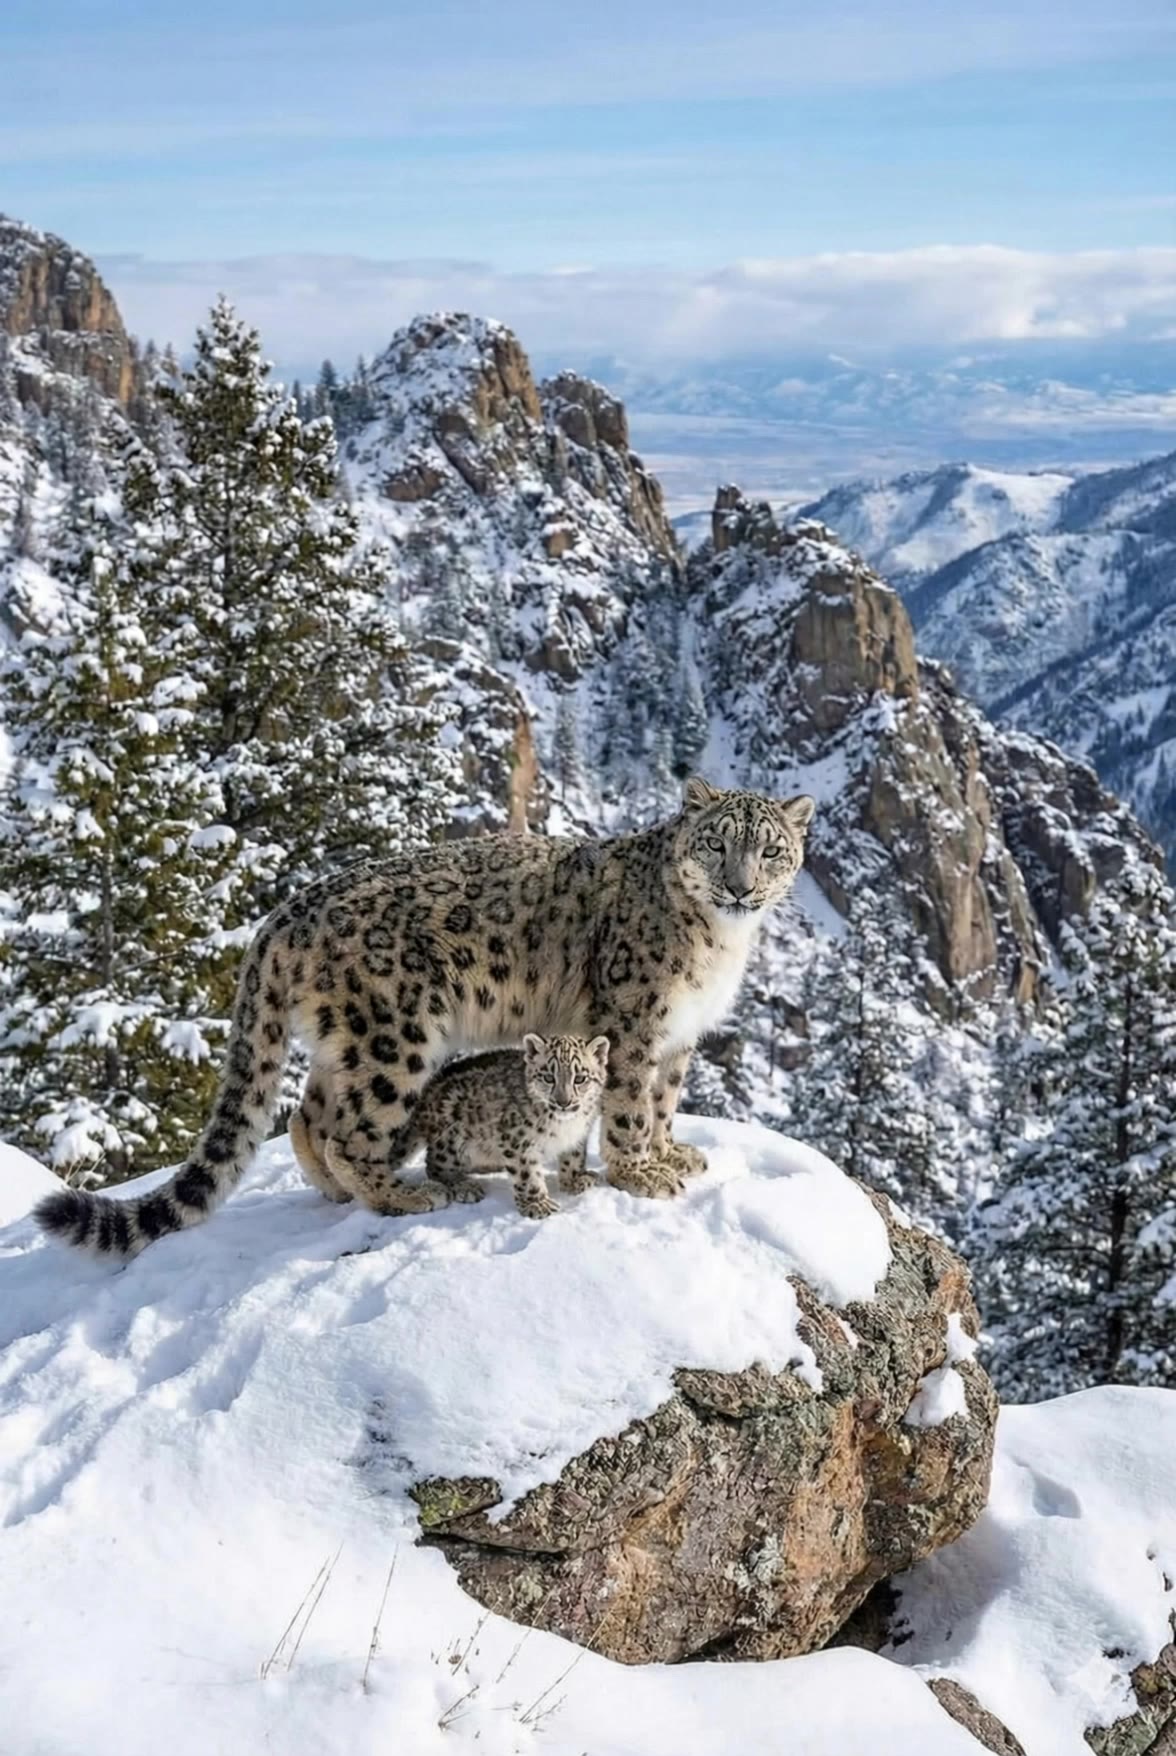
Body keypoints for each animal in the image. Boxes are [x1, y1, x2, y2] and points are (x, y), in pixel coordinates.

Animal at [289, 1032, 609, 1220]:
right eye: (548, 1076)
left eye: (580, 1077)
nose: (564, 1102)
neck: (565, 1125)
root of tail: (424, 1096)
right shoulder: (517, 1139)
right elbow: (527, 1173)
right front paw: (538, 1205)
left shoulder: (579, 1135)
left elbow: (572, 1158)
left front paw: (576, 1180)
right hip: (452, 1138)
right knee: (434, 1165)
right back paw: (463, 1185)